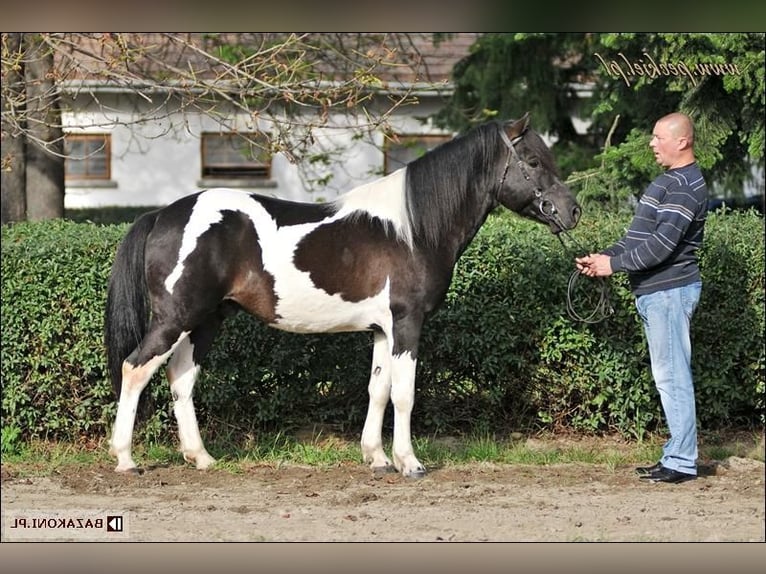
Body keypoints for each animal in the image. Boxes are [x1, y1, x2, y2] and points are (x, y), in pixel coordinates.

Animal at [103, 112, 584, 476]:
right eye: (533, 161)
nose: (573, 211)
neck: (411, 230)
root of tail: (162, 214)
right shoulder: (407, 323)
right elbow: (404, 393)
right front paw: (409, 462)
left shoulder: (383, 330)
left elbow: (378, 389)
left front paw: (377, 458)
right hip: (177, 317)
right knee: (135, 368)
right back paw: (126, 459)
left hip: (207, 319)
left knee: (181, 378)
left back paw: (201, 457)